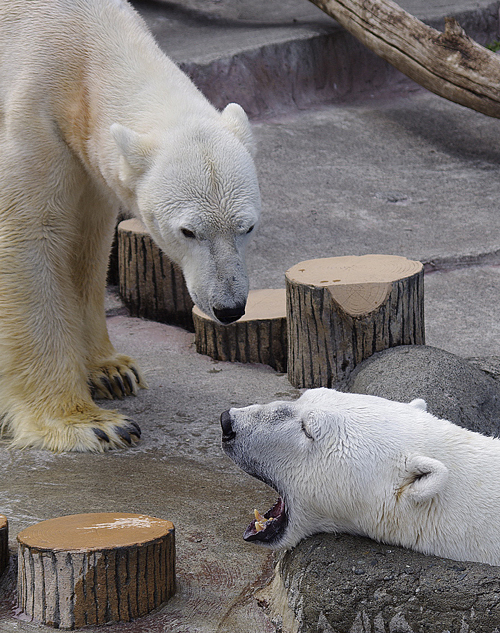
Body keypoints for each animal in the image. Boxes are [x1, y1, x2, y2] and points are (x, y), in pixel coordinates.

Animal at [0, 2, 262, 452]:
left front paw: (112, 371)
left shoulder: (82, 146)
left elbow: (85, 240)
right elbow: (29, 234)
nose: (228, 308)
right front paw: (88, 423)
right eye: (188, 231)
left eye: (246, 227)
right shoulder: (32, 108)